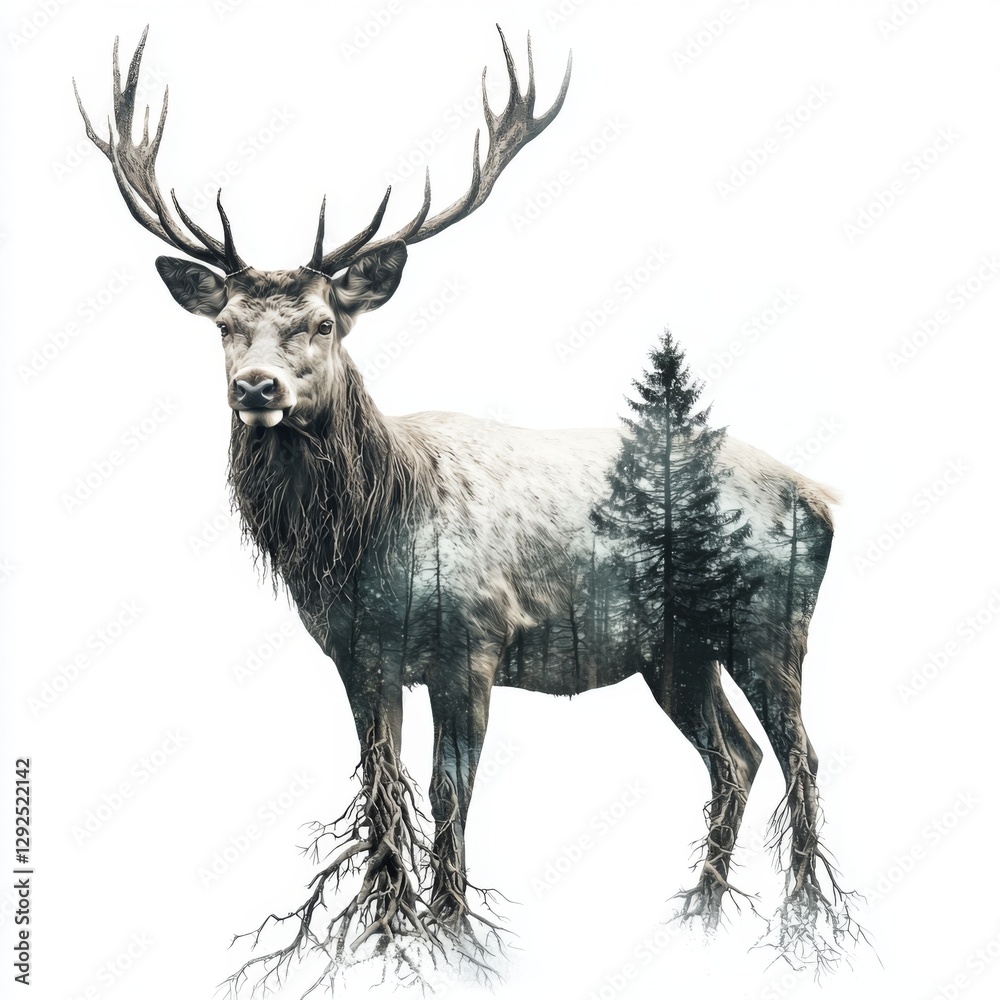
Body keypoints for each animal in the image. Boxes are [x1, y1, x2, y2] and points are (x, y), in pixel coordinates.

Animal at [75, 25, 857, 991]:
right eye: (225, 326)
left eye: (323, 323)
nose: (257, 388)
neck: (370, 540)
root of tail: (822, 498)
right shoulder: (357, 657)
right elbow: (380, 790)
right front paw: (385, 932)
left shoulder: (472, 643)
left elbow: (451, 793)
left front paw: (453, 936)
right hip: (676, 650)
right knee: (736, 759)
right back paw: (702, 915)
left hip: (769, 622)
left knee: (800, 754)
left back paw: (806, 929)